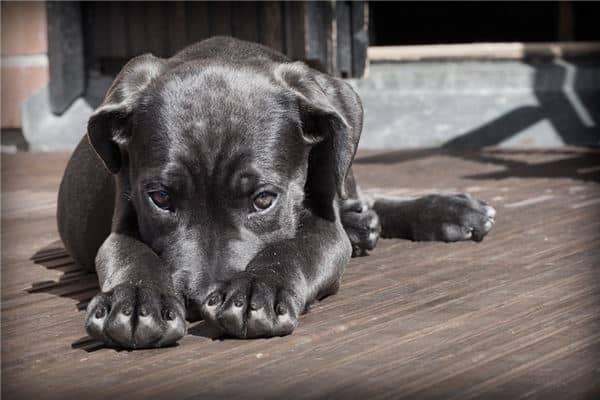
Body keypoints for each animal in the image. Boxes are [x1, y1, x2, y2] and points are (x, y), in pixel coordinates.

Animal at [57, 38, 496, 350]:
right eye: (161, 199)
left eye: (264, 200)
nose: (199, 300)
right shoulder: (123, 218)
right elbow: (130, 254)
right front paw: (135, 301)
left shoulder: (323, 226)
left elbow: (294, 248)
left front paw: (257, 289)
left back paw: (446, 211)